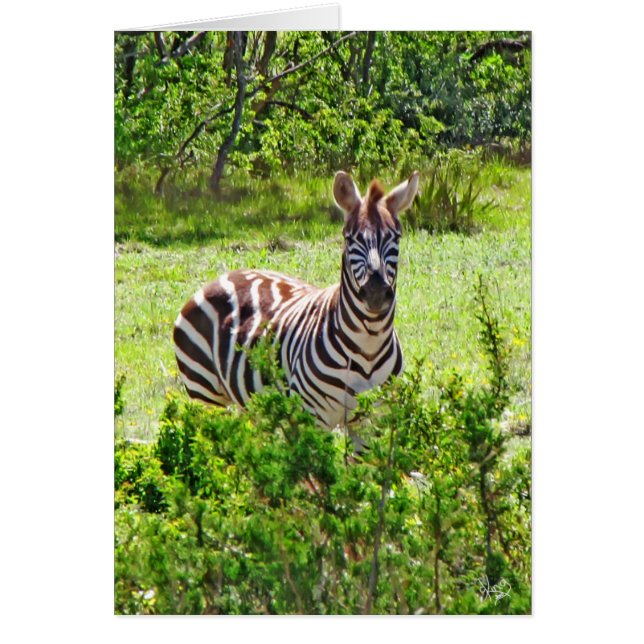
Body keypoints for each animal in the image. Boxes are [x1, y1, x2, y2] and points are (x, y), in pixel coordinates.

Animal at [173, 170, 419, 429]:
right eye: (350, 239)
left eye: (396, 237)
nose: (375, 292)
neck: (368, 343)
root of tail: (226, 275)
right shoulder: (311, 415)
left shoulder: (372, 419)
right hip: (204, 394)